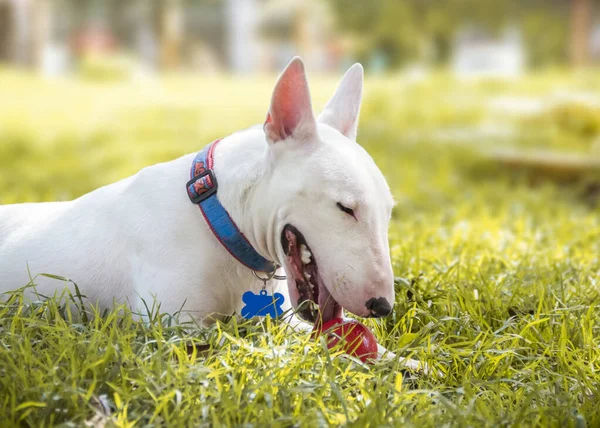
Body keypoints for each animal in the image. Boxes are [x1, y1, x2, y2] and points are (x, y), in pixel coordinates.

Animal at [0, 57, 422, 368]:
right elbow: (245, 346)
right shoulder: (174, 329)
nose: (382, 306)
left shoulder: (282, 319)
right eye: (345, 208)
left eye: (388, 213)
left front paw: (410, 364)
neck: (220, 225)